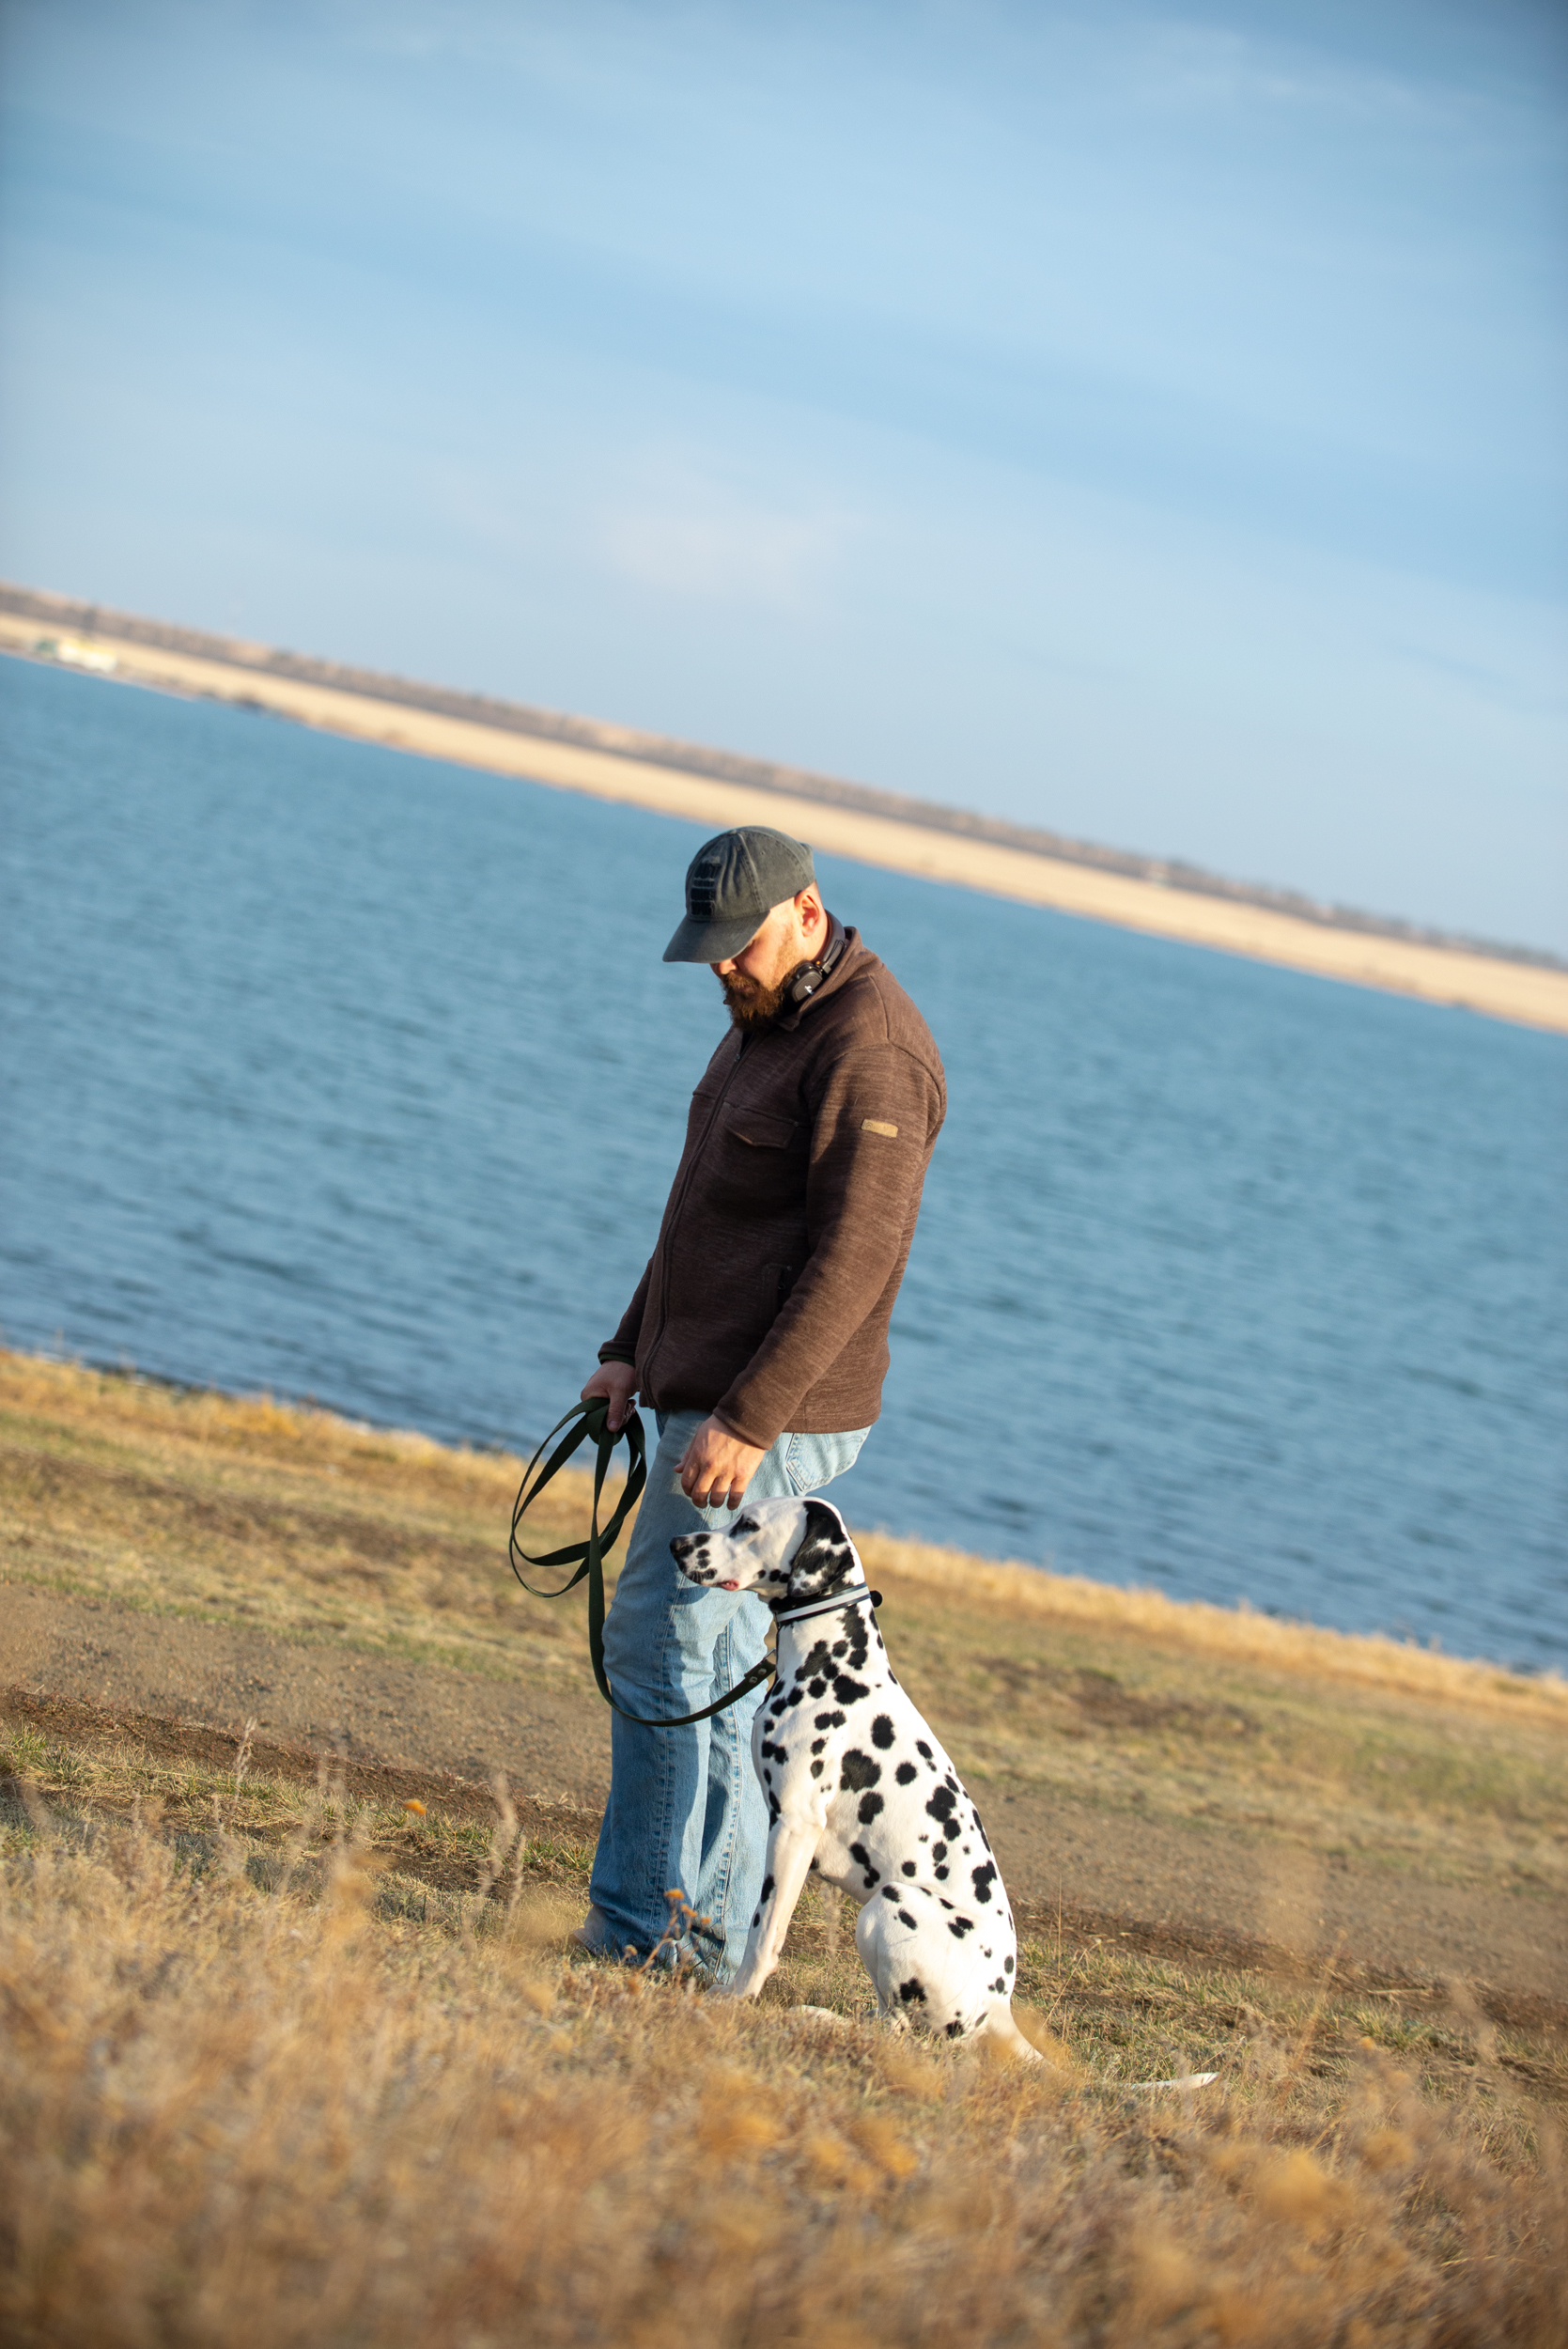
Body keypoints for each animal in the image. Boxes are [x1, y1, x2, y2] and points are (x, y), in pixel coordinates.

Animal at [671, 1485, 1042, 2058]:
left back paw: (817, 2019)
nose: (676, 1545)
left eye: (748, 1525)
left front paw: (734, 1999)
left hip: (890, 1905)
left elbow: (763, 1932)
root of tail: (998, 2007)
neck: (834, 1664)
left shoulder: (795, 1827)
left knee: (899, 2033)